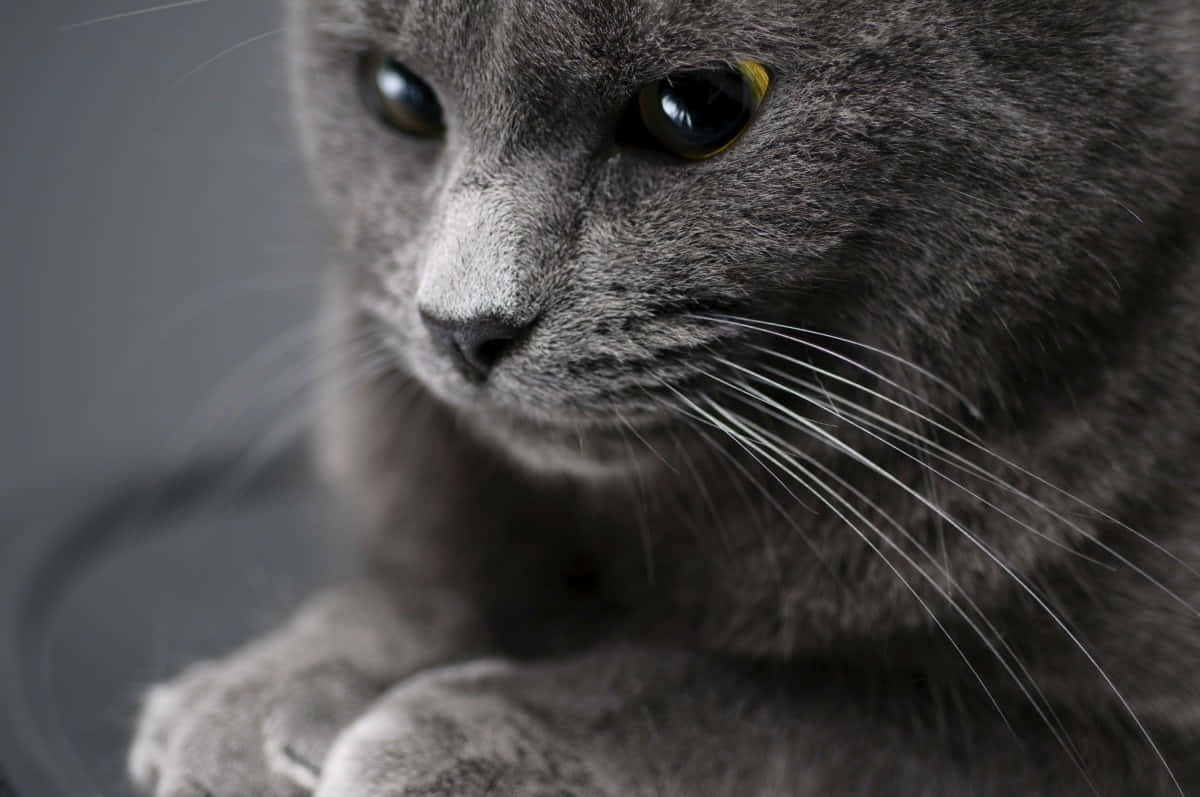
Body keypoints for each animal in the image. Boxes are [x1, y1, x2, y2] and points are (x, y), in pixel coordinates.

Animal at [126, 1, 1195, 797]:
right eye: (400, 94)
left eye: (699, 105)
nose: (462, 326)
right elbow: (423, 576)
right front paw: (255, 695)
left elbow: (821, 717)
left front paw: (473, 734)